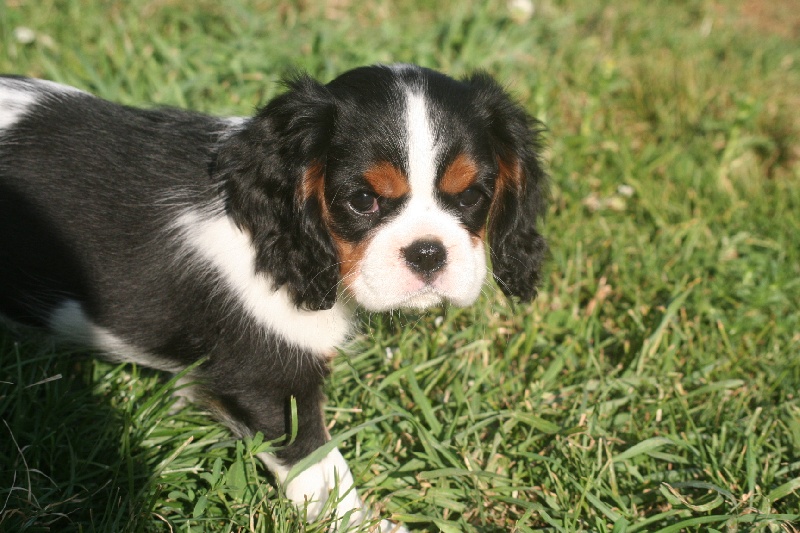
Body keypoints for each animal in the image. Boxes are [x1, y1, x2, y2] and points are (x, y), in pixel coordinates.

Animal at [0, 64, 544, 528]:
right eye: (362, 200)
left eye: (471, 195)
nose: (428, 253)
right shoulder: (268, 381)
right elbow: (321, 468)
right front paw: (357, 523)